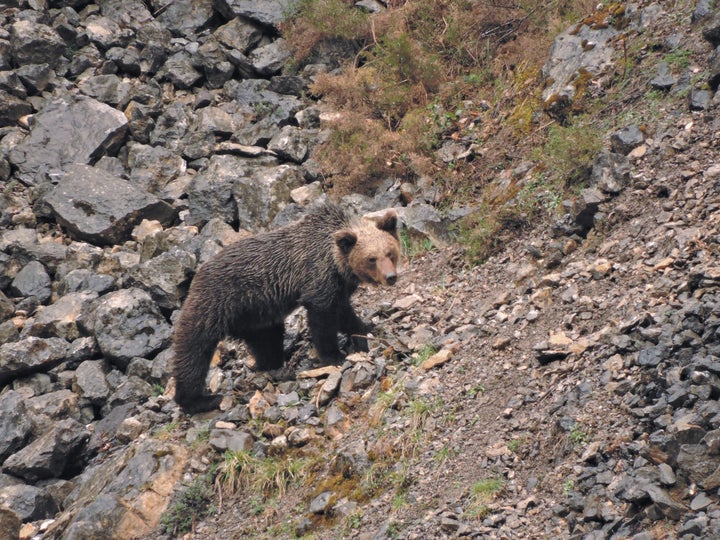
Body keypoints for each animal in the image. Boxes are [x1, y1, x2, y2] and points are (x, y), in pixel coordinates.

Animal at [172, 202, 402, 414]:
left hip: (255, 316)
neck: (336, 262)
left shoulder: (338, 286)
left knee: (267, 340)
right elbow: (323, 319)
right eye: (371, 259)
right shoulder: (316, 278)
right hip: (216, 302)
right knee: (194, 348)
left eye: (390, 252)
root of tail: (198, 274)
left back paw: (272, 365)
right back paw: (199, 399)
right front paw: (334, 356)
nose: (391, 277)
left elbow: (345, 313)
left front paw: (364, 332)